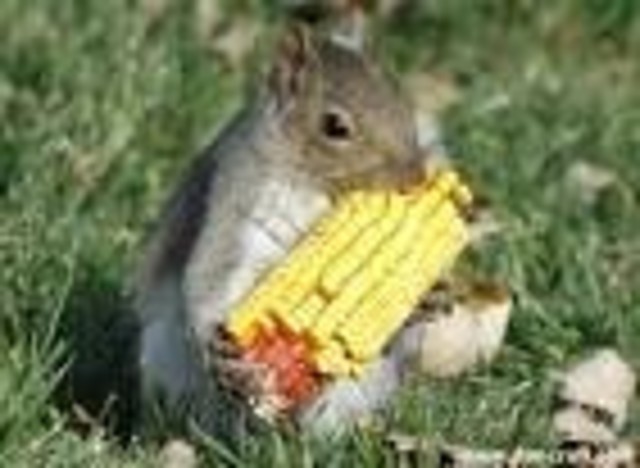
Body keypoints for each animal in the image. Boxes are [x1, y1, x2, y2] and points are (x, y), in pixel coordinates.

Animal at [135, 23, 430, 438]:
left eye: (404, 106)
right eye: (335, 126)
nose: (415, 178)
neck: (316, 193)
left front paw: (428, 297)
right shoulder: (239, 209)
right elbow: (212, 278)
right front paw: (222, 349)